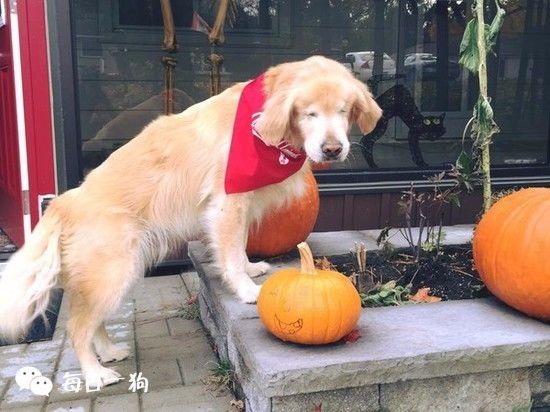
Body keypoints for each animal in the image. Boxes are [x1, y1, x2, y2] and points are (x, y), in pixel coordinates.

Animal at [0, 56, 382, 388]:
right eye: (309, 113)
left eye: (344, 111)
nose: (333, 149)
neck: (262, 128)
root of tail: (63, 203)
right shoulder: (227, 203)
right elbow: (230, 253)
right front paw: (245, 289)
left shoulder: (240, 206)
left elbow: (239, 246)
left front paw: (251, 268)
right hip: (112, 273)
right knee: (77, 328)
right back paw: (95, 374)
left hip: (116, 276)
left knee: (92, 322)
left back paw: (108, 352)